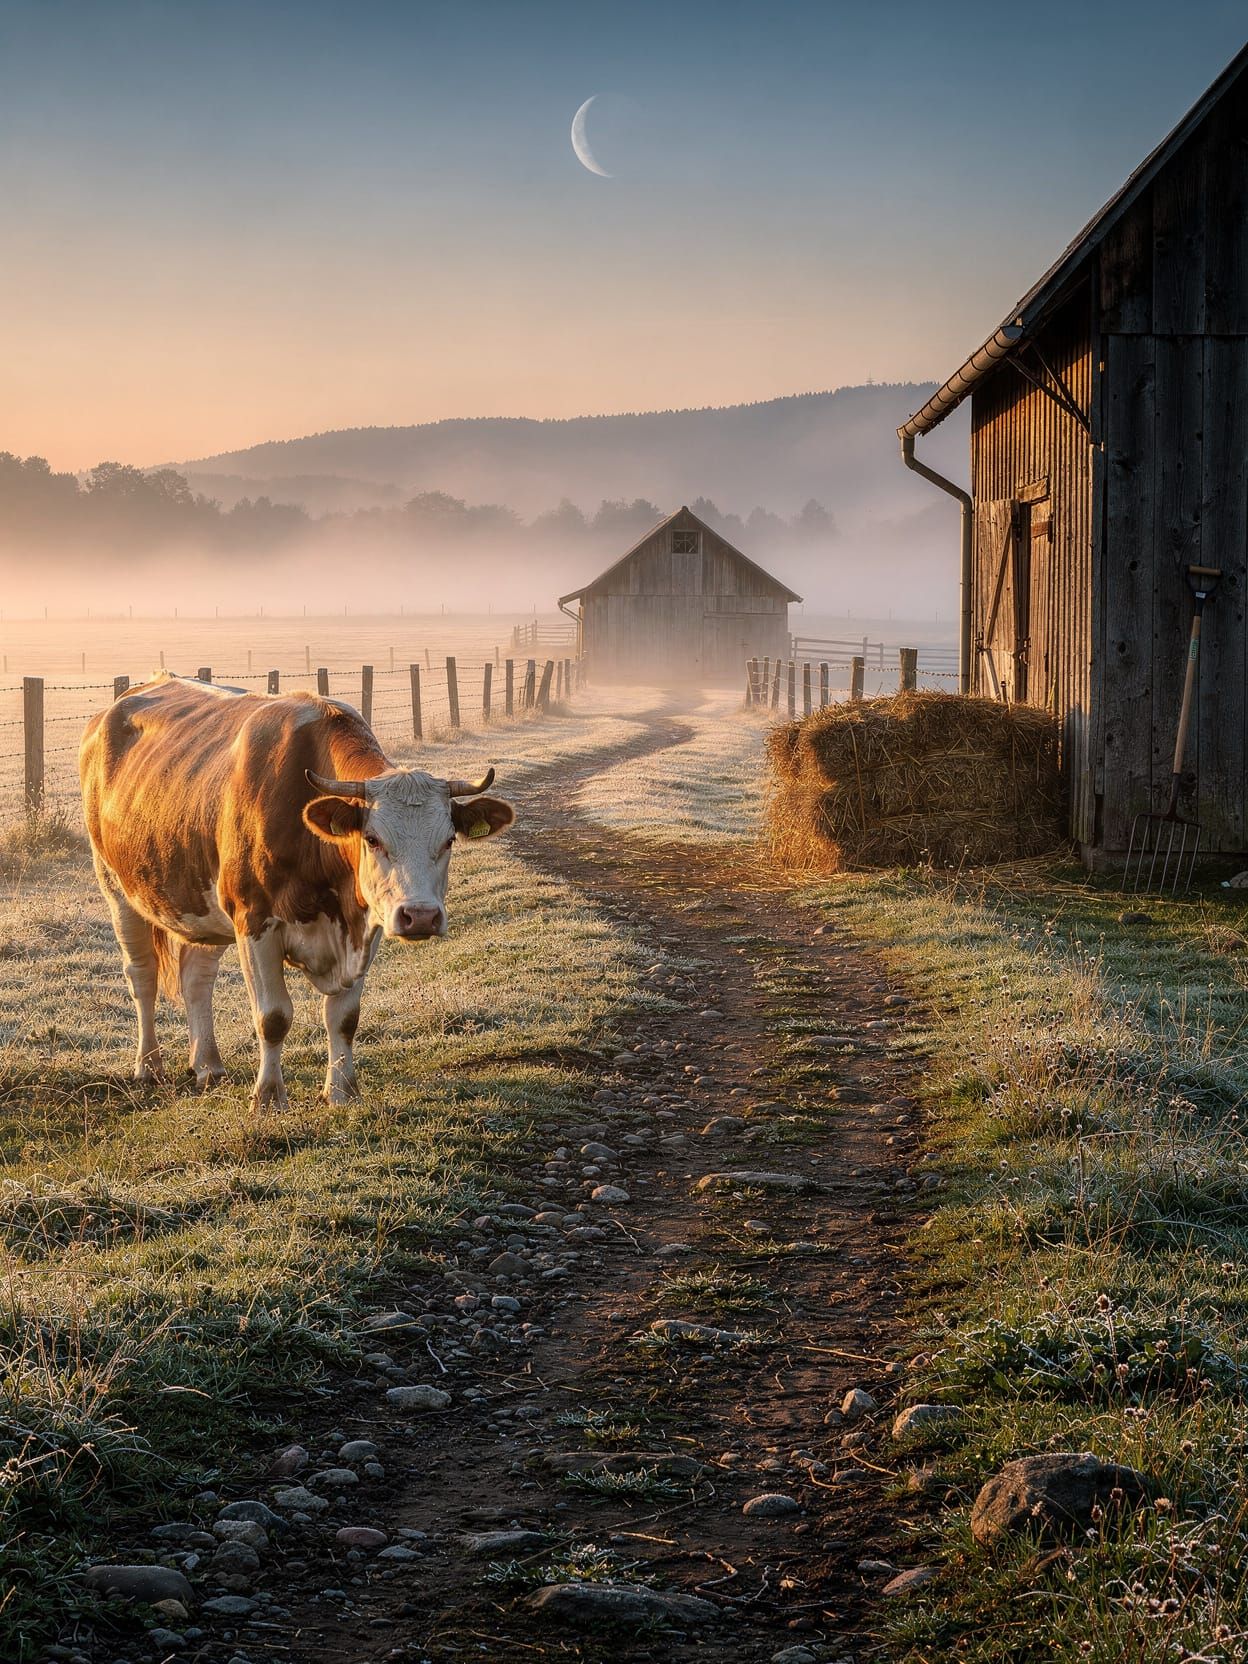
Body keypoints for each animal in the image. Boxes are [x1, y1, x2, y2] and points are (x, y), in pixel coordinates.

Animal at [79, 672, 514, 1110]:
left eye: (448, 840)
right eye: (372, 839)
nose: (420, 916)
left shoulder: (365, 925)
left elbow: (344, 1017)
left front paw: (342, 1091)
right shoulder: (254, 920)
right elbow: (273, 1017)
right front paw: (269, 1096)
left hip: (200, 900)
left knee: (197, 978)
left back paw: (208, 1066)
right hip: (116, 888)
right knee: (142, 976)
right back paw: (148, 1066)